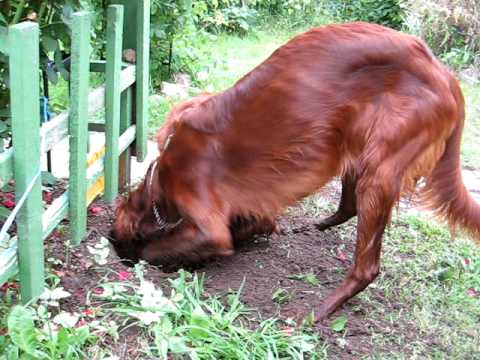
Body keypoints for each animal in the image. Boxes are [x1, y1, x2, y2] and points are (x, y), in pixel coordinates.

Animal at [109, 21, 480, 320]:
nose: (114, 248)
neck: (161, 179)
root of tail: (444, 74)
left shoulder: (206, 224)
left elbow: (160, 248)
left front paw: (143, 258)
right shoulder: (253, 214)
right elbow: (256, 225)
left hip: (381, 167)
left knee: (367, 267)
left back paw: (320, 310)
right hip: (354, 142)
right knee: (348, 206)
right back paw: (314, 226)